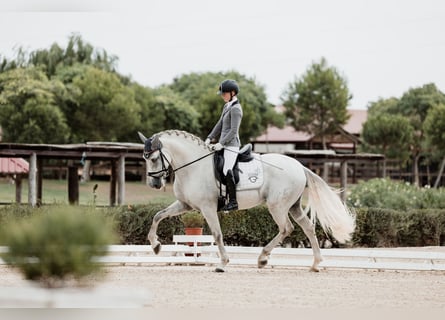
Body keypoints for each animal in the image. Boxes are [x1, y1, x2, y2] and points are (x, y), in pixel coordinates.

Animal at [138, 130, 354, 272]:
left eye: (154, 158)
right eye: (145, 158)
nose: (154, 184)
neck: (193, 167)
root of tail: (299, 166)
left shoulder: (208, 208)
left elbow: (217, 234)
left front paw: (223, 263)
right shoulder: (185, 205)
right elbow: (158, 216)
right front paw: (155, 245)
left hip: (277, 206)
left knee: (287, 228)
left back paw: (263, 258)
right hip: (293, 206)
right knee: (307, 227)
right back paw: (315, 264)